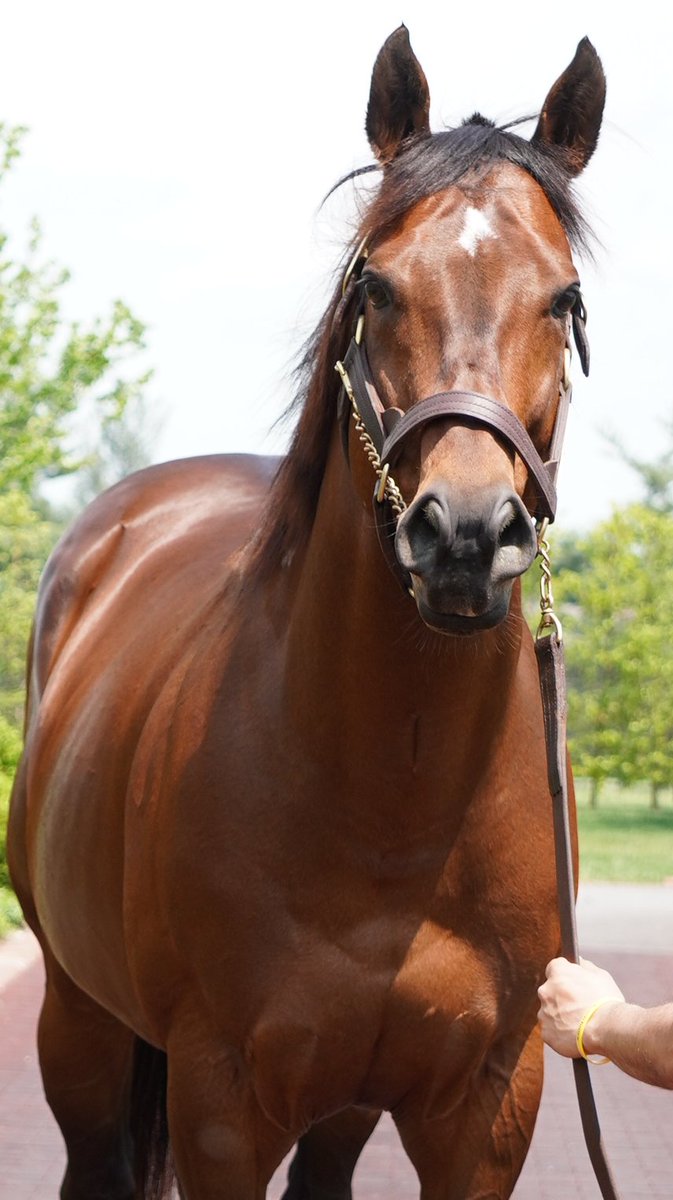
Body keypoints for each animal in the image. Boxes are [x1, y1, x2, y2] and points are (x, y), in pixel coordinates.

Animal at [7, 26, 605, 1200]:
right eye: (375, 282)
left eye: (562, 299)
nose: (465, 536)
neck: (395, 806)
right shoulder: (222, 1108)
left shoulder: (487, 1109)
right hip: (78, 1023)